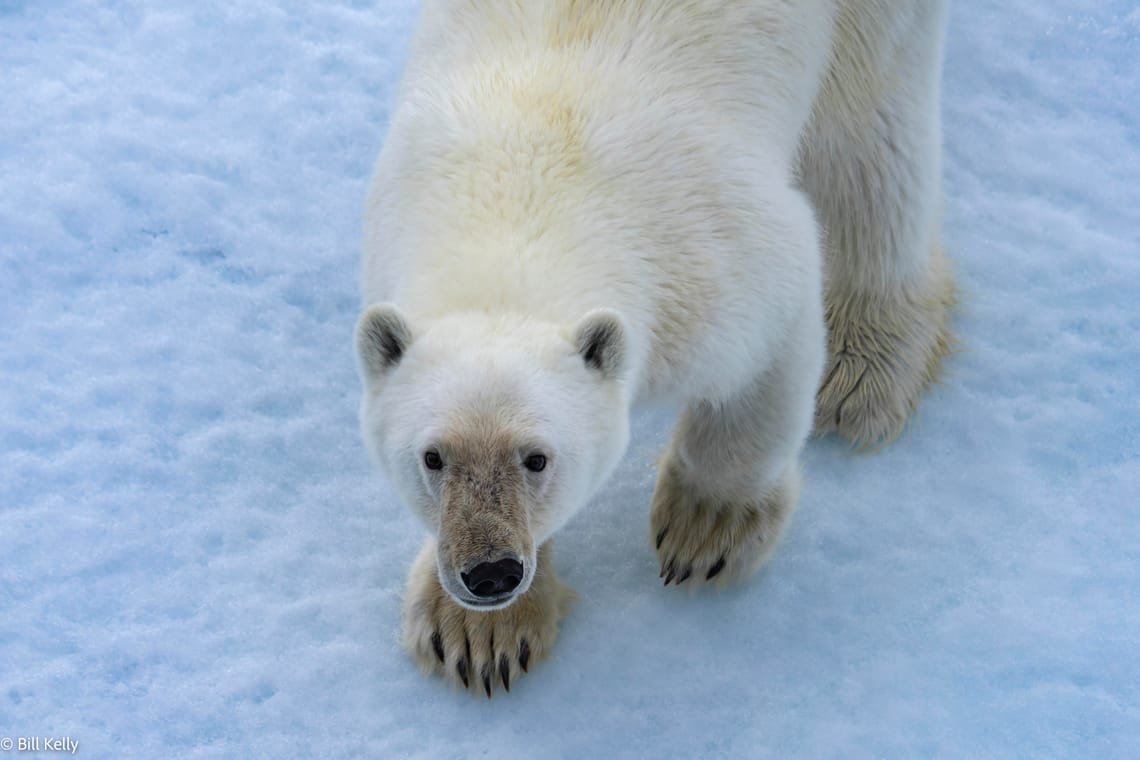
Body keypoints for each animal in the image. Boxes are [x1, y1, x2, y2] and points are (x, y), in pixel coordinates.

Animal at [353, 0, 953, 697]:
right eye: (431, 457)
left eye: (537, 458)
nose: (490, 574)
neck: (524, 209)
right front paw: (477, 634)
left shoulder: (711, 258)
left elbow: (767, 364)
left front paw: (706, 528)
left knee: (869, 139)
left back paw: (864, 370)